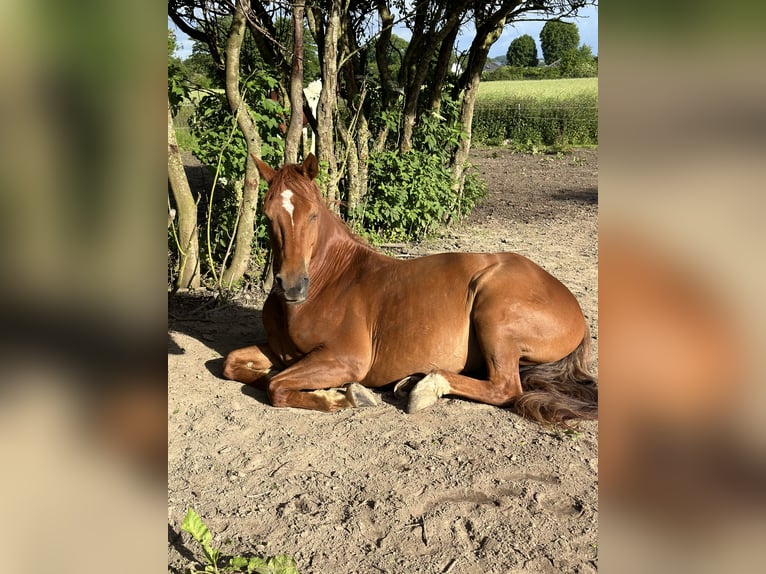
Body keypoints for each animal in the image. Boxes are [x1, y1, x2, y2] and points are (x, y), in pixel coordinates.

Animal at [222, 154, 600, 428]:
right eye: (267, 214)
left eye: (313, 215)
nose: (292, 285)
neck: (330, 281)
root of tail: (572, 306)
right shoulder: (282, 353)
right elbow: (231, 364)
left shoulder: (345, 359)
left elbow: (276, 387)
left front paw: (339, 397)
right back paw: (411, 381)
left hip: (493, 313)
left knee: (504, 387)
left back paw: (424, 388)